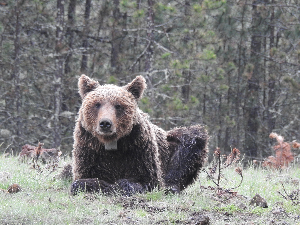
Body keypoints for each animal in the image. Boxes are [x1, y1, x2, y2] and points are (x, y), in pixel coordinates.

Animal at [71, 74, 207, 196]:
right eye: (97, 104)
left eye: (118, 105)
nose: (105, 123)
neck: (111, 143)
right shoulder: (90, 151)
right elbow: (82, 179)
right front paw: (98, 185)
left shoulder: (138, 148)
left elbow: (147, 179)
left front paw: (121, 185)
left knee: (189, 143)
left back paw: (172, 187)